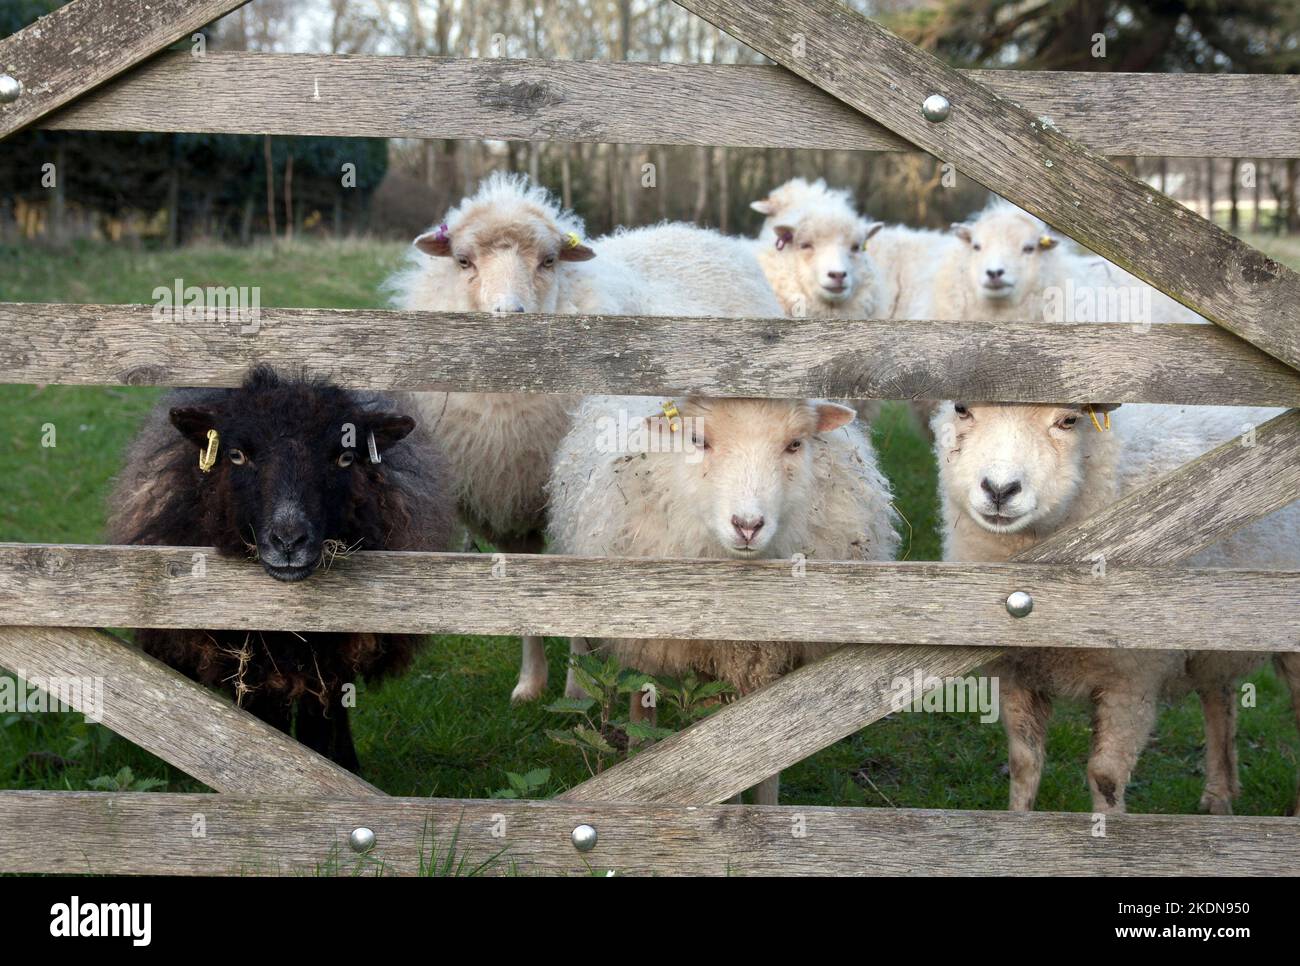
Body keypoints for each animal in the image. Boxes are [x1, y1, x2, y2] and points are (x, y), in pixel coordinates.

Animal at [106, 366, 454, 774]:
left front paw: (336, 769)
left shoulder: (331, 656)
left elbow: (323, 720)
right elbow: (264, 721)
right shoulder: (249, 660)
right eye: (236, 455)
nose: (289, 541)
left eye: (345, 457)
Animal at [384, 174, 780, 702]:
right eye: (463, 261)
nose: (511, 316)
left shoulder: (579, 497)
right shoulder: (508, 494)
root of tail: (695, 232)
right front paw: (531, 683)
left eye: (548, 260)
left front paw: (579, 689)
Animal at [935, 400, 1300, 816]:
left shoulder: (1132, 677)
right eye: (961, 408)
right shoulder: (1016, 671)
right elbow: (1024, 764)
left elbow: (1105, 775)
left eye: (1069, 420)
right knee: (1217, 695)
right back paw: (1218, 798)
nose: (999, 489)